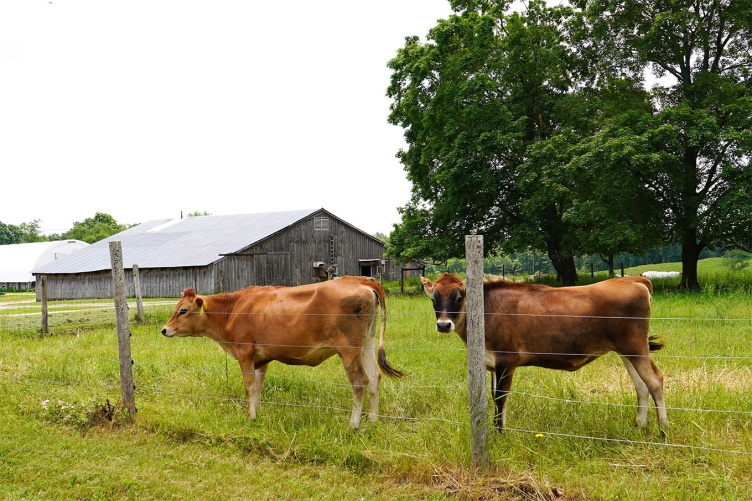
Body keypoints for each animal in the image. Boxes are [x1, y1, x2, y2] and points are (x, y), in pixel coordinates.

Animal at [161, 276, 402, 428]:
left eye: (183, 310)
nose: (164, 329)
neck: (232, 309)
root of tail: (361, 279)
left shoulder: (244, 351)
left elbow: (249, 386)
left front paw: (249, 417)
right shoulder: (261, 357)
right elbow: (258, 387)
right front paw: (257, 413)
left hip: (348, 349)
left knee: (360, 382)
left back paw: (353, 424)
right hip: (367, 343)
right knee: (374, 377)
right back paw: (372, 421)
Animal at [420, 272, 668, 432]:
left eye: (459, 297)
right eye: (433, 299)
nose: (443, 325)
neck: (485, 311)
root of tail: (634, 280)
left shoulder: (506, 360)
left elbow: (501, 398)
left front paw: (500, 434)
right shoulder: (492, 363)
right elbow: (493, 396)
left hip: (636, 347)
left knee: (655, 380)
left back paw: (662, 430)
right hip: (626, 351)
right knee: (641, 385)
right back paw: (639, 425)